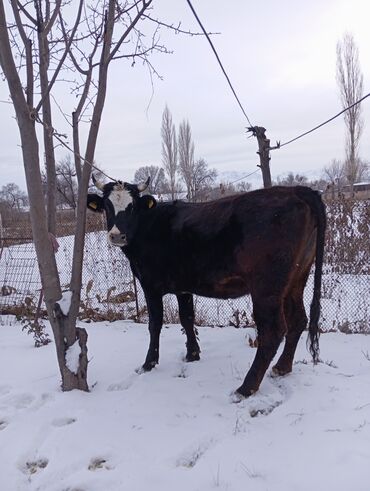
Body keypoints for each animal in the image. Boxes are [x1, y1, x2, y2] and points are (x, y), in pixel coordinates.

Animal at [88, 179, 326, 398]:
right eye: (107, 206)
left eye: (132, 206)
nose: (116, 235)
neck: (151, 225)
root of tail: (297, 190)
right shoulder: (183, 287)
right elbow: (187, 318)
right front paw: (192, 355)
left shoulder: (150, 285)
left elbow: (155, 324)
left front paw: (148, 364)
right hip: (297, 278)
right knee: (298, 320)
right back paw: (282, 367)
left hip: (266, 287)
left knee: (273, 331)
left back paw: (246, 388)